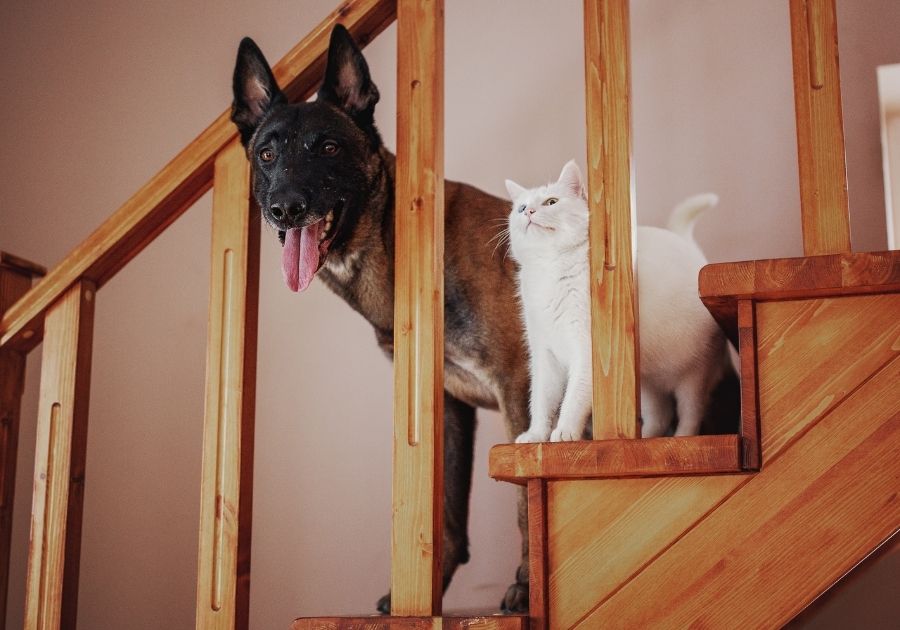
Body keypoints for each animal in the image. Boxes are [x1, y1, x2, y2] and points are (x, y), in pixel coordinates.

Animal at [232, 27, 536, 616]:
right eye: (266, 154)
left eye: (329, 147)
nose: (286, 207)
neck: (393, 241)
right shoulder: (449, 406)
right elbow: (447, 515)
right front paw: (416, 598)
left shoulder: (519, 386)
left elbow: (525, 492)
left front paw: (529, 587)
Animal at [506, 160, 732, 442]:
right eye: (521, 207)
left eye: (551, 201)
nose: (529, 212)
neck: (550, 269)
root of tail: (693, 253)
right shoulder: (544, 354)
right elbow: (541, 400)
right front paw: (535, 434)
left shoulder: (586, 350)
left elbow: (573, 398)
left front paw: (566, 431)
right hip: (647, 384)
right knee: (661, 415)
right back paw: (644, 438)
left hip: (694, 375)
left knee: (691, 413)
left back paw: (680, 438)